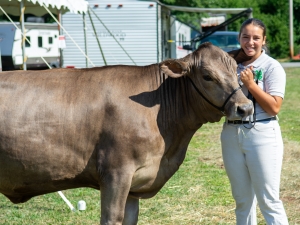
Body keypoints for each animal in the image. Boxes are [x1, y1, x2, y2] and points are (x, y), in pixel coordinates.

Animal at [0, 42, 253, 225]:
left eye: (237, 72)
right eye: (207, 76)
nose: (246, 108)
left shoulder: (134, 186)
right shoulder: (115, 173)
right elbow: (112, 218)